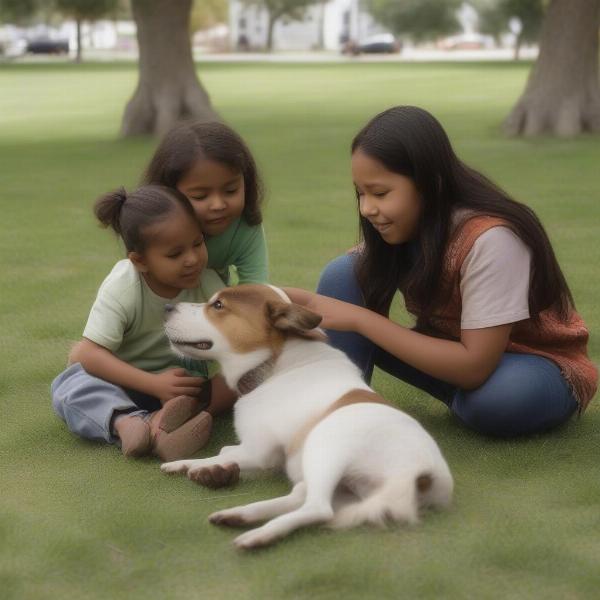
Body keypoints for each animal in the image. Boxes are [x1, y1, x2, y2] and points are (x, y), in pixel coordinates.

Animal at [162, 284, 452, 548]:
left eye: (219, 305)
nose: (167, 307)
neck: (272, 364)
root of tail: (419, 473)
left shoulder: (259, 452)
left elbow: (222, 453)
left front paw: (199, 465)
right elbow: (223, 452)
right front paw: (188, 464)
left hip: (325, 446)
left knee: (319, 508)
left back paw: (259, 534)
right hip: (340, 485)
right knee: (302, 497)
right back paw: (239, 515)